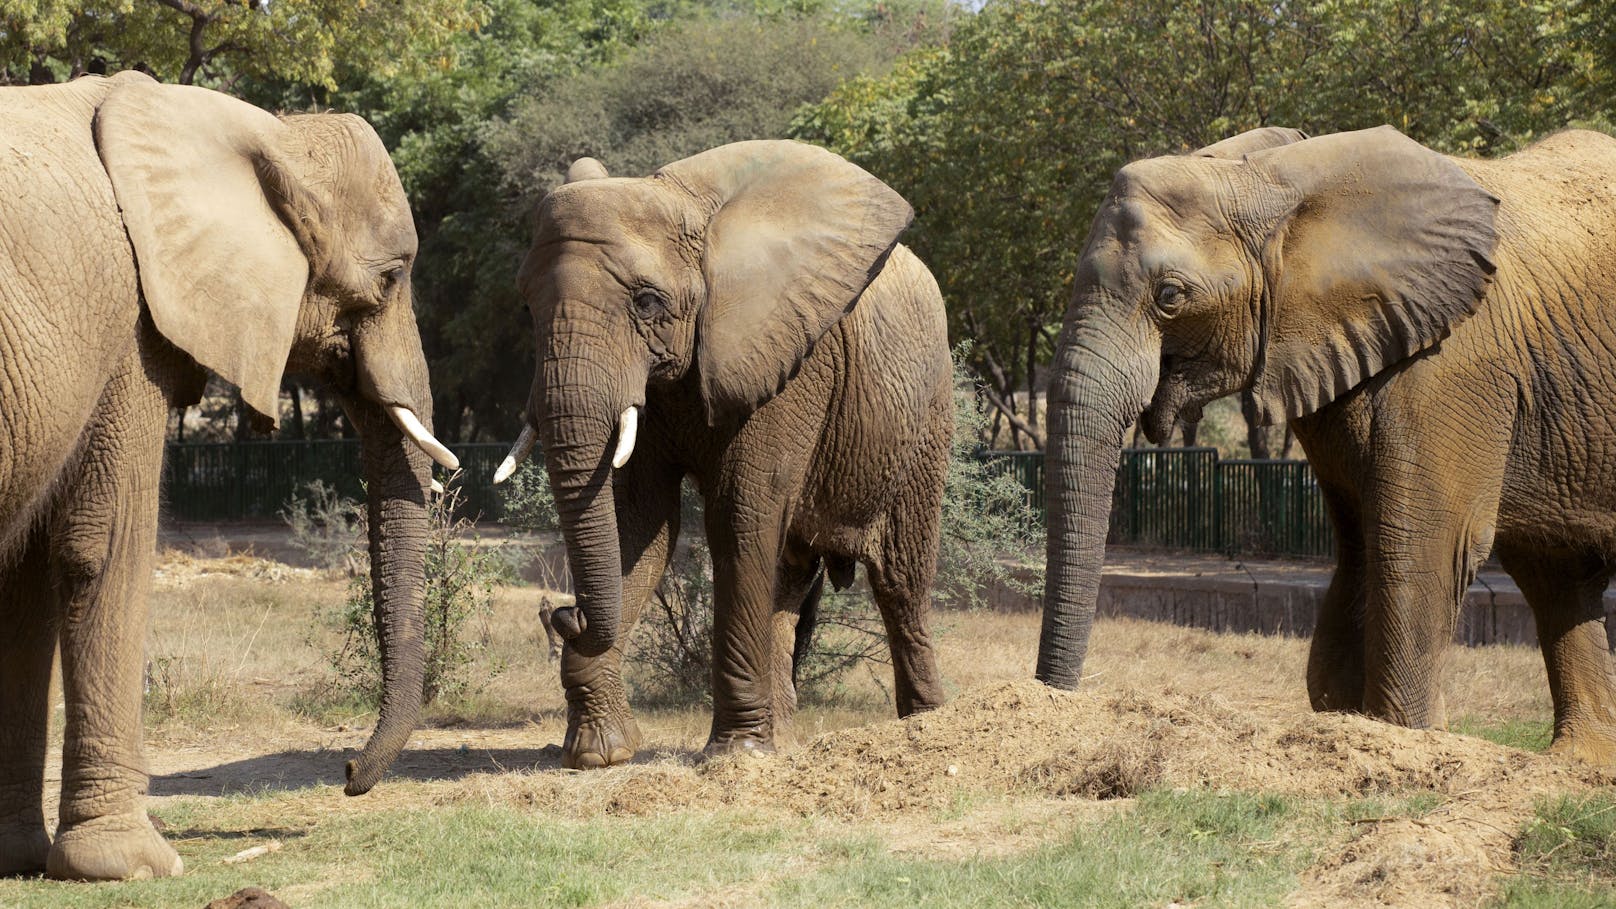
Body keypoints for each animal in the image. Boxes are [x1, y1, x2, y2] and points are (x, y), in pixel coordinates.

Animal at [1, 72, 455, 879]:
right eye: (392, 277)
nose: (345, 772)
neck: (265, 130)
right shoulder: (131, 326)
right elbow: (96, 549)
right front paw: (131, 866)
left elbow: (24, 580)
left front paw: (22, 858)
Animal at [497, 139, 950, 763]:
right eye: (525, 307)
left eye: (646, 303)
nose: (565, 612)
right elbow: (641, 521)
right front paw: (599, 753)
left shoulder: (787, 360)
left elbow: (738, 513)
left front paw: (734, 755)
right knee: (789, 576)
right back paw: (785, 741)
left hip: (923, 418)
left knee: (901, 577)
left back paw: (924, 728)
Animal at [1034, 123, 1616, 760]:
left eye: (1169, 296)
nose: (1052, 698)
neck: (1275, 181)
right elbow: (1359, 547)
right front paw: (1354, 720)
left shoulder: (1452, 361)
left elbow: (1425, 546)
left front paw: (1405, 736)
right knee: (1557, 577)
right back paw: (1578, 762)